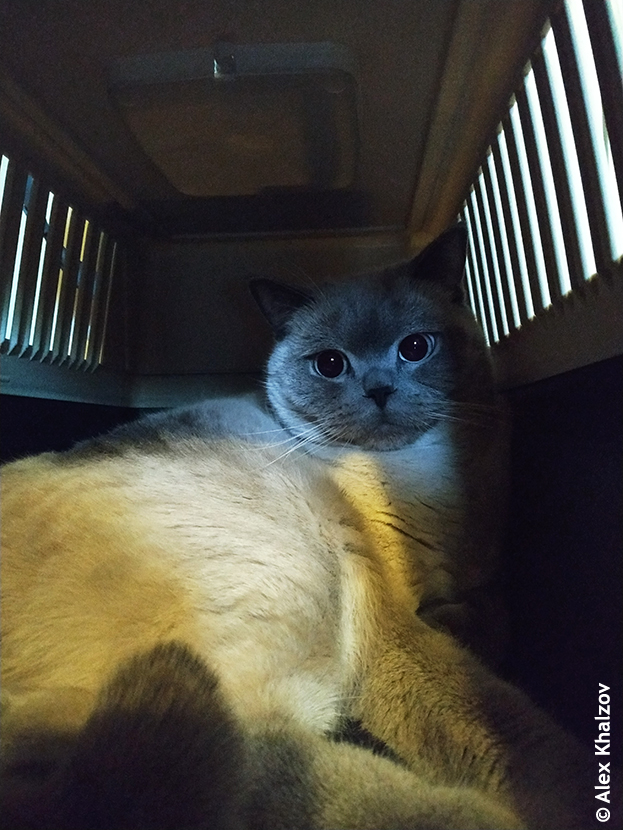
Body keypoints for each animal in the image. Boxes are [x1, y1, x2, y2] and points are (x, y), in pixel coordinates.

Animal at [0, 226, 603, 829]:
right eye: (330, 364)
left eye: (415, 348)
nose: (379, 391)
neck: (424, 480)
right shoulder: (385, 621)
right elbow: (509, 728)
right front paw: (577, 793)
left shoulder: (481, 575)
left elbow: (492, 613)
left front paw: (463, 622)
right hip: (299, 588)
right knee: (261, 757)